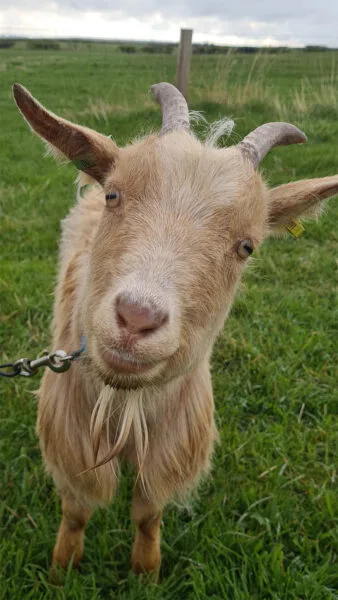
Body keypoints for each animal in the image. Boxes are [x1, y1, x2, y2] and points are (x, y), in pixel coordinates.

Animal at [13, 83, 338, 576]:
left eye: (247, 245)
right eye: (114, 195)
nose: (137, 317)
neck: (125, 402)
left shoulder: (173, 442)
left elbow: (148, 514)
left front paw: (145, 572)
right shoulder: (71, 432)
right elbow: (76, 510)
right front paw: (61, 570)